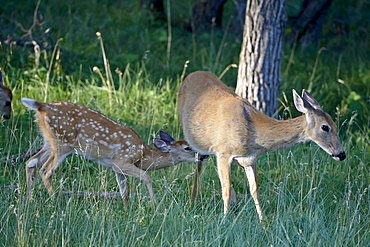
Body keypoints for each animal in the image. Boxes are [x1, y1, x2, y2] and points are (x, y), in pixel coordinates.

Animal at [22, 97, 201, 204]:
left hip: (48, 141)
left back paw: (29, 200)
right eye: (187, 147)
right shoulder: (122, 160)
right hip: (63, 143)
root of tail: (42, 106)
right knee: (46, 170)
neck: (144, 153)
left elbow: (125, 191)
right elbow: (147, 176)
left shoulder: (115, 167)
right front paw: (154, 204)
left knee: (31, 162)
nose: (202, 156)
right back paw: (55, 201)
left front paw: (126, 210)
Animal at [178, 71, 346, 220]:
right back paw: (192, 202)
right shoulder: (223, 152)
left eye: (335, 125)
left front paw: (262, 221)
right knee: (198, 166)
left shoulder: (249, 159)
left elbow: (255, 190)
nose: (341, 154)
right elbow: (225, 190)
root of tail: (192, 74)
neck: (252, 133)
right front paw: (224, 220)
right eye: (325, 127)